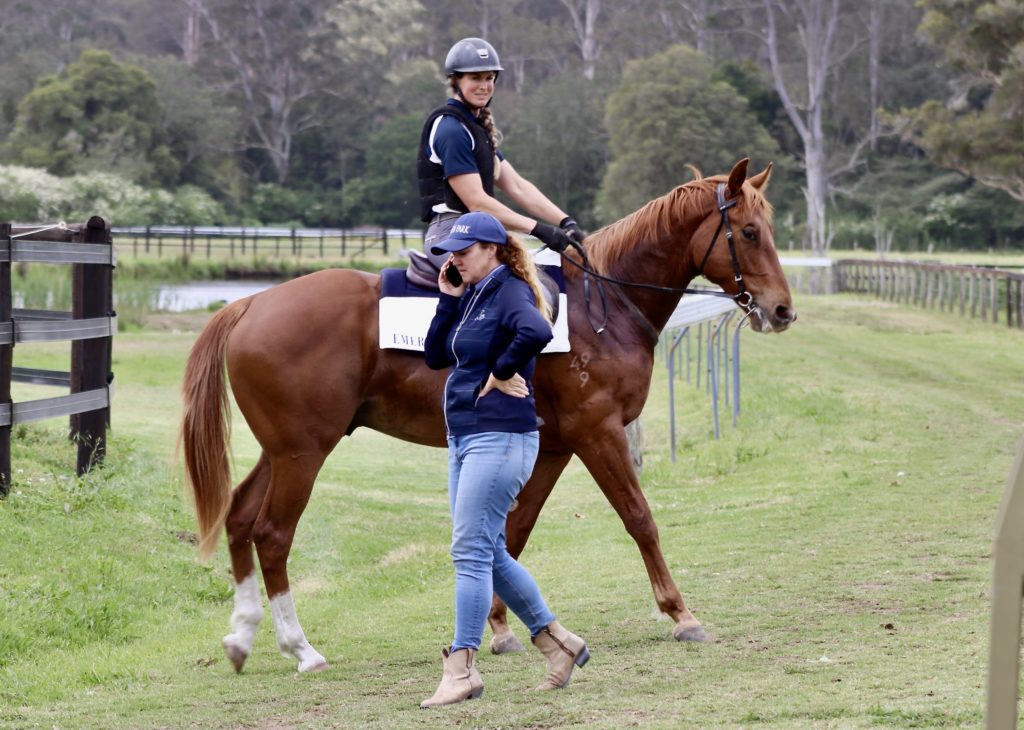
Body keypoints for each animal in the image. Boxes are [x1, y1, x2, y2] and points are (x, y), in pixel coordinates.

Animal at [180, 158, 795, 673]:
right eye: (748, 233)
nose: (783, 310)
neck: (603, 305)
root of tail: (251, 303)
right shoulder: (598, 433)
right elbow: (639, 517)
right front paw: (680, 615)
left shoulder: (554, 444)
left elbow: (514, 531)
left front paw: (501, 627)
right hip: (304, 452)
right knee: (273, 533)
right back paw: (300, 648)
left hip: (282, 450)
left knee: (239, 518)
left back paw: (242, 637)